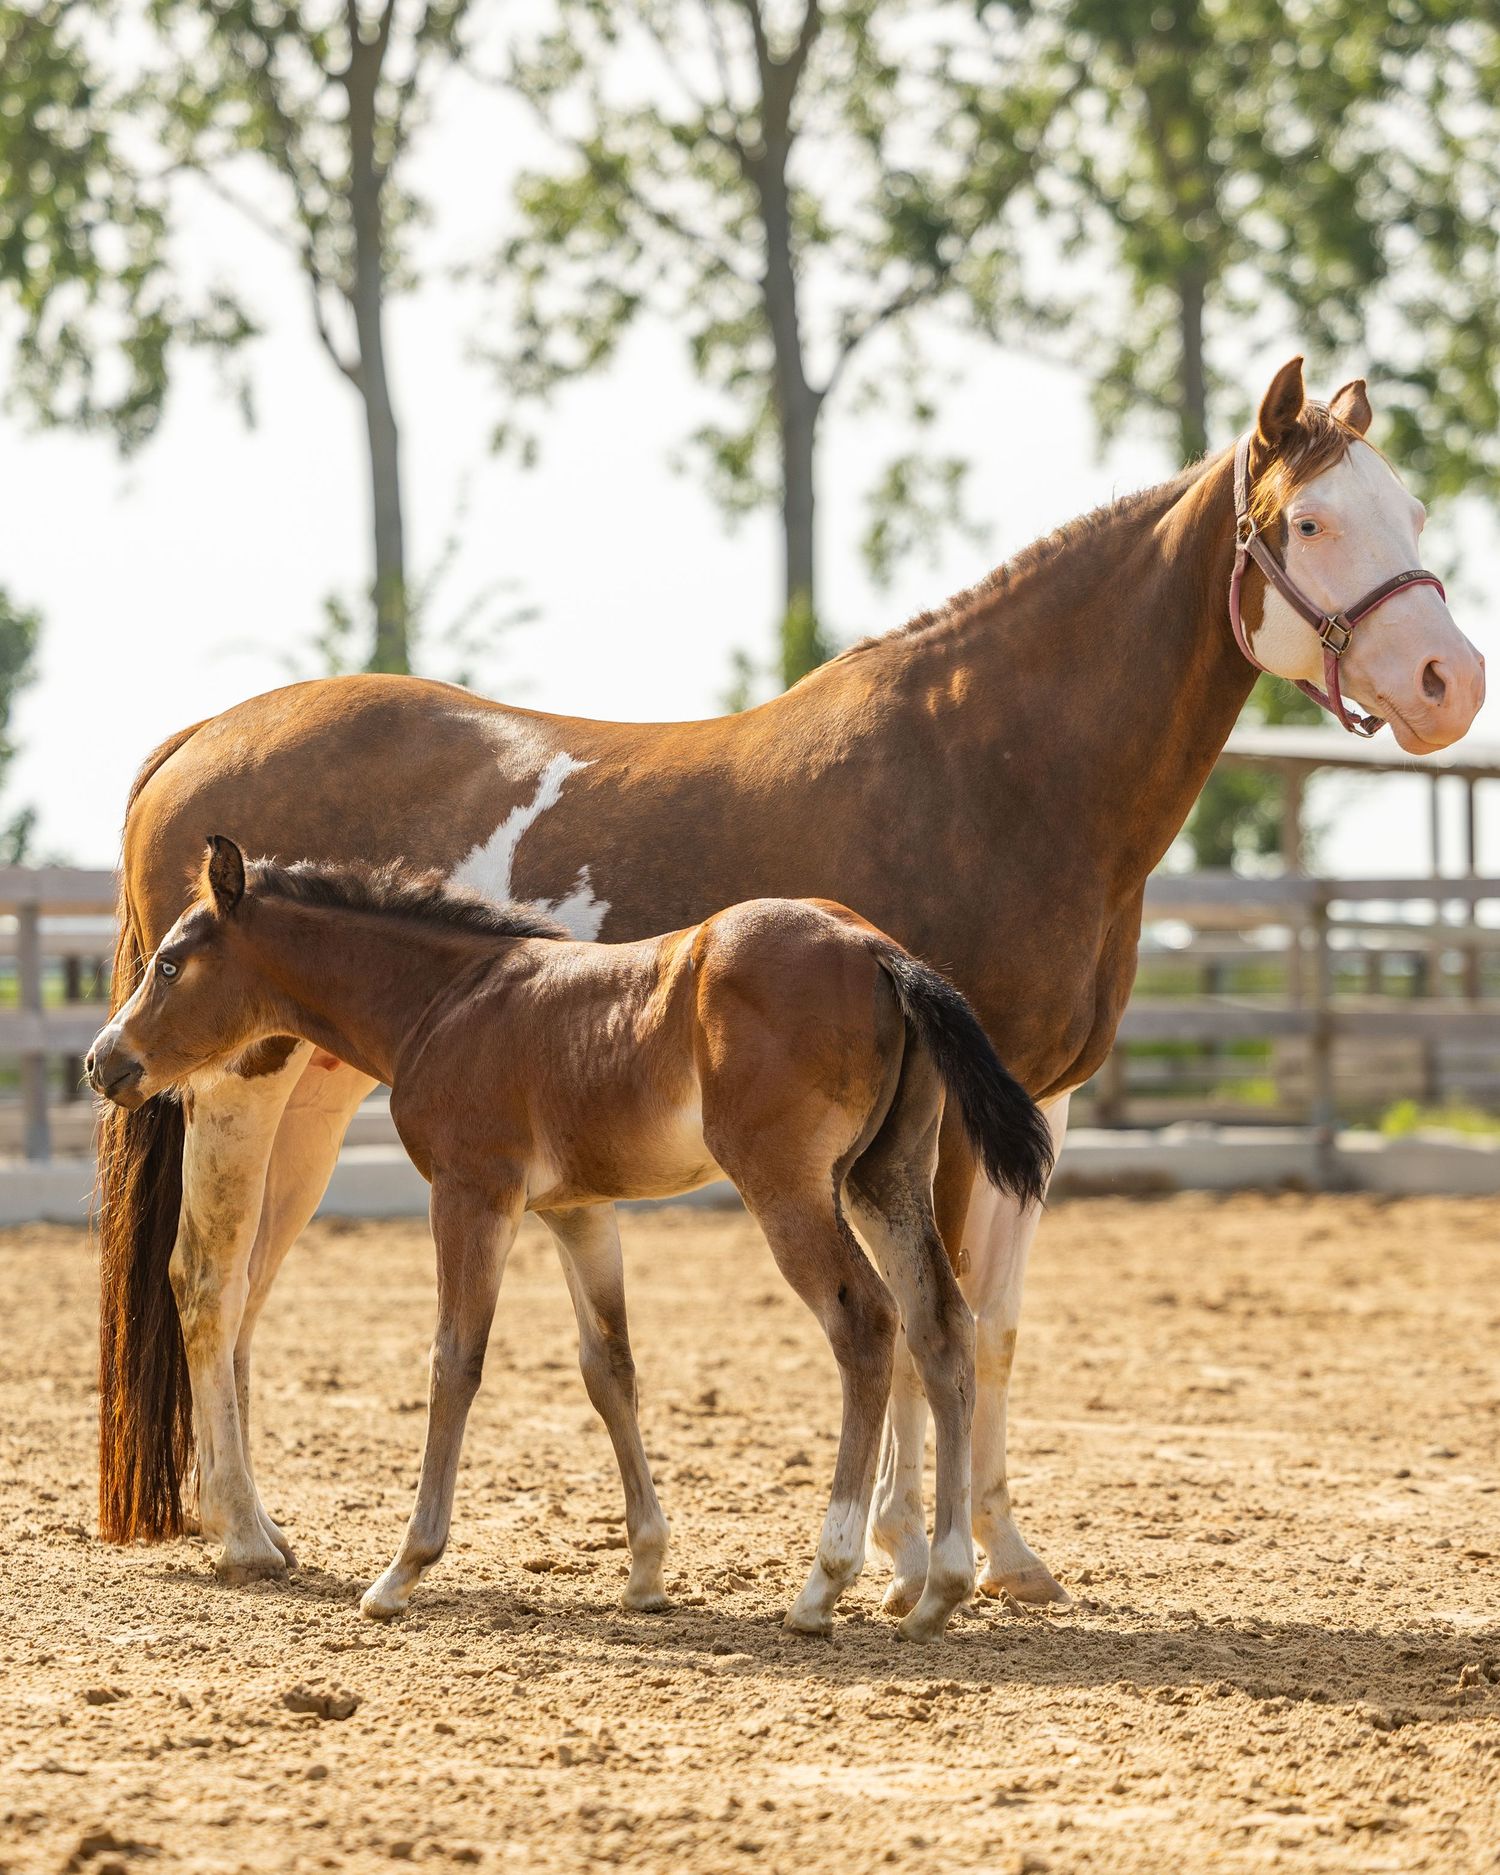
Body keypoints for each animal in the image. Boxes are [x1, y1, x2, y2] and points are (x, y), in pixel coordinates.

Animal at [87, 838, 1053, 1640]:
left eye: (169, 964)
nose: (104, 1061)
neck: (448, 1000)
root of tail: (878, 951)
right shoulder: (577, 1209)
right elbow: (608, 1370)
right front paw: (646, 1572)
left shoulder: (473, 1192)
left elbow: (455, 1360)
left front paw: (401, 1572)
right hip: (883, 1178)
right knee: (941, 1325)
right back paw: (940, 1587)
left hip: (789, 1187)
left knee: (866, 1324)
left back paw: (826, 1581)